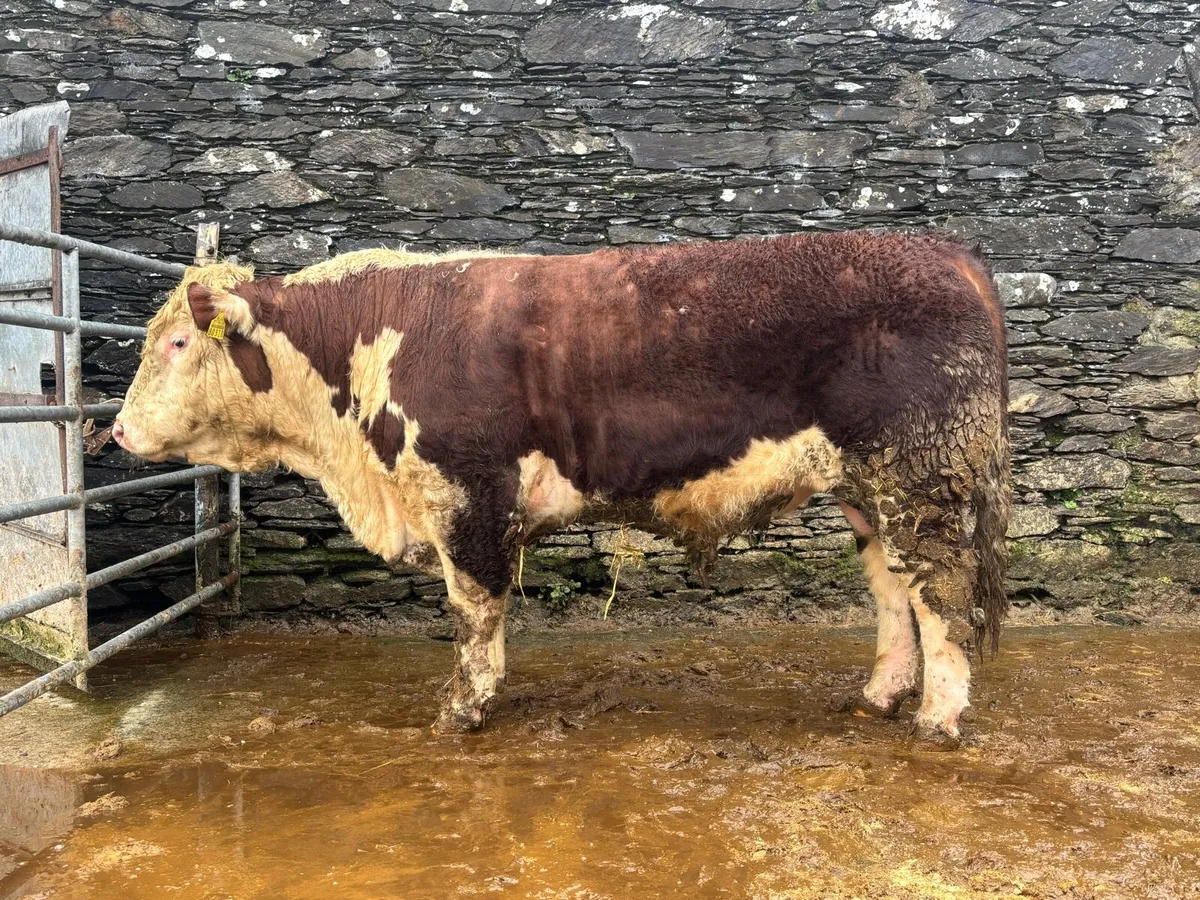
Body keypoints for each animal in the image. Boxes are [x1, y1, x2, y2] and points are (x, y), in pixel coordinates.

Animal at [113, 231, 1010, 747]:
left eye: (179, 342)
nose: (116, 432)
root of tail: (946, 251)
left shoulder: (467, 491)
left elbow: (474, 610)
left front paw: (462, 711)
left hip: (921, 473)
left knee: (942, 592)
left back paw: (938, 719)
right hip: (870, 488)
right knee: (893, 586)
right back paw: (880, 696)